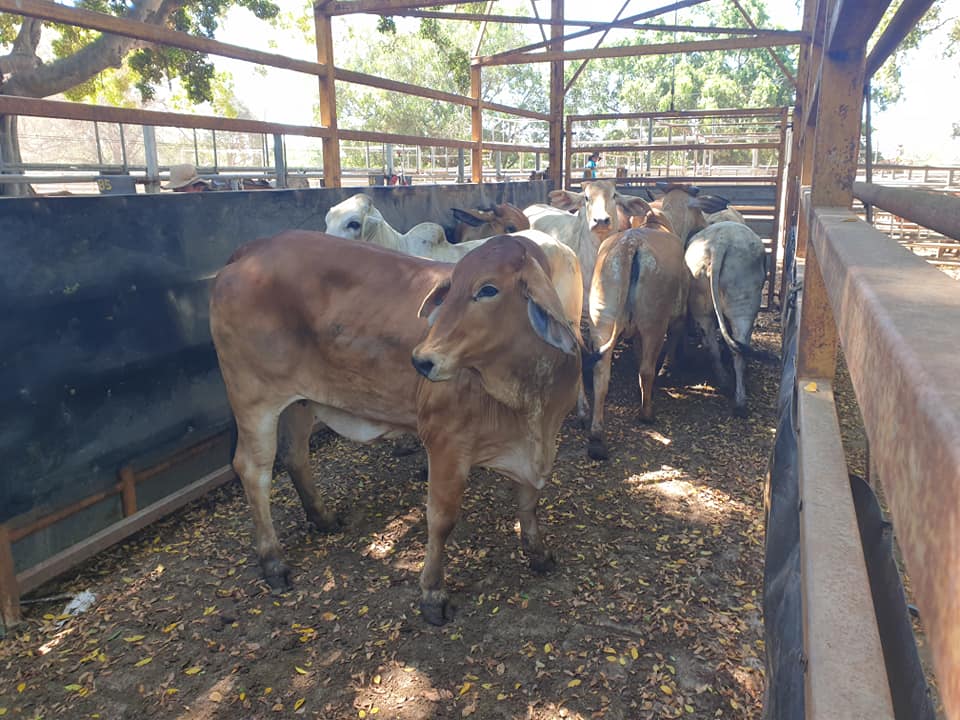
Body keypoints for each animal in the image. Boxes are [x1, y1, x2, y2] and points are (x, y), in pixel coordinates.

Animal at [209, 232, 581, 625]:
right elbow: (441, 519)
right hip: (253, 398)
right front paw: (433, 593)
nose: (421, 360)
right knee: (254, 469)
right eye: (451, 287)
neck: (527, 395)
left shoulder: (540, 446)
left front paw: (538, 553)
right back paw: (273, 561)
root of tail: (251, 249)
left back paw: (323, 518)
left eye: (488, 289)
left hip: (299, 401)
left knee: (295, 454)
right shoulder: (446, 444)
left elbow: (529, 502)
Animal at [585, 217, 689, 460]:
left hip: (602, 319)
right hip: (654, 322)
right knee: (647, 370)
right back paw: (646, 413)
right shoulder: (678, 315)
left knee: (601, 375)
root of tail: (630, 245)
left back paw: (596, 438)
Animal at [684, 221, 768, 417]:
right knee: (739, 349)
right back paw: (740, 401)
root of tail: (718, 245)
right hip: (744, 303)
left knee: (714, 347)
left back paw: (726, 385)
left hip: (700, 302)